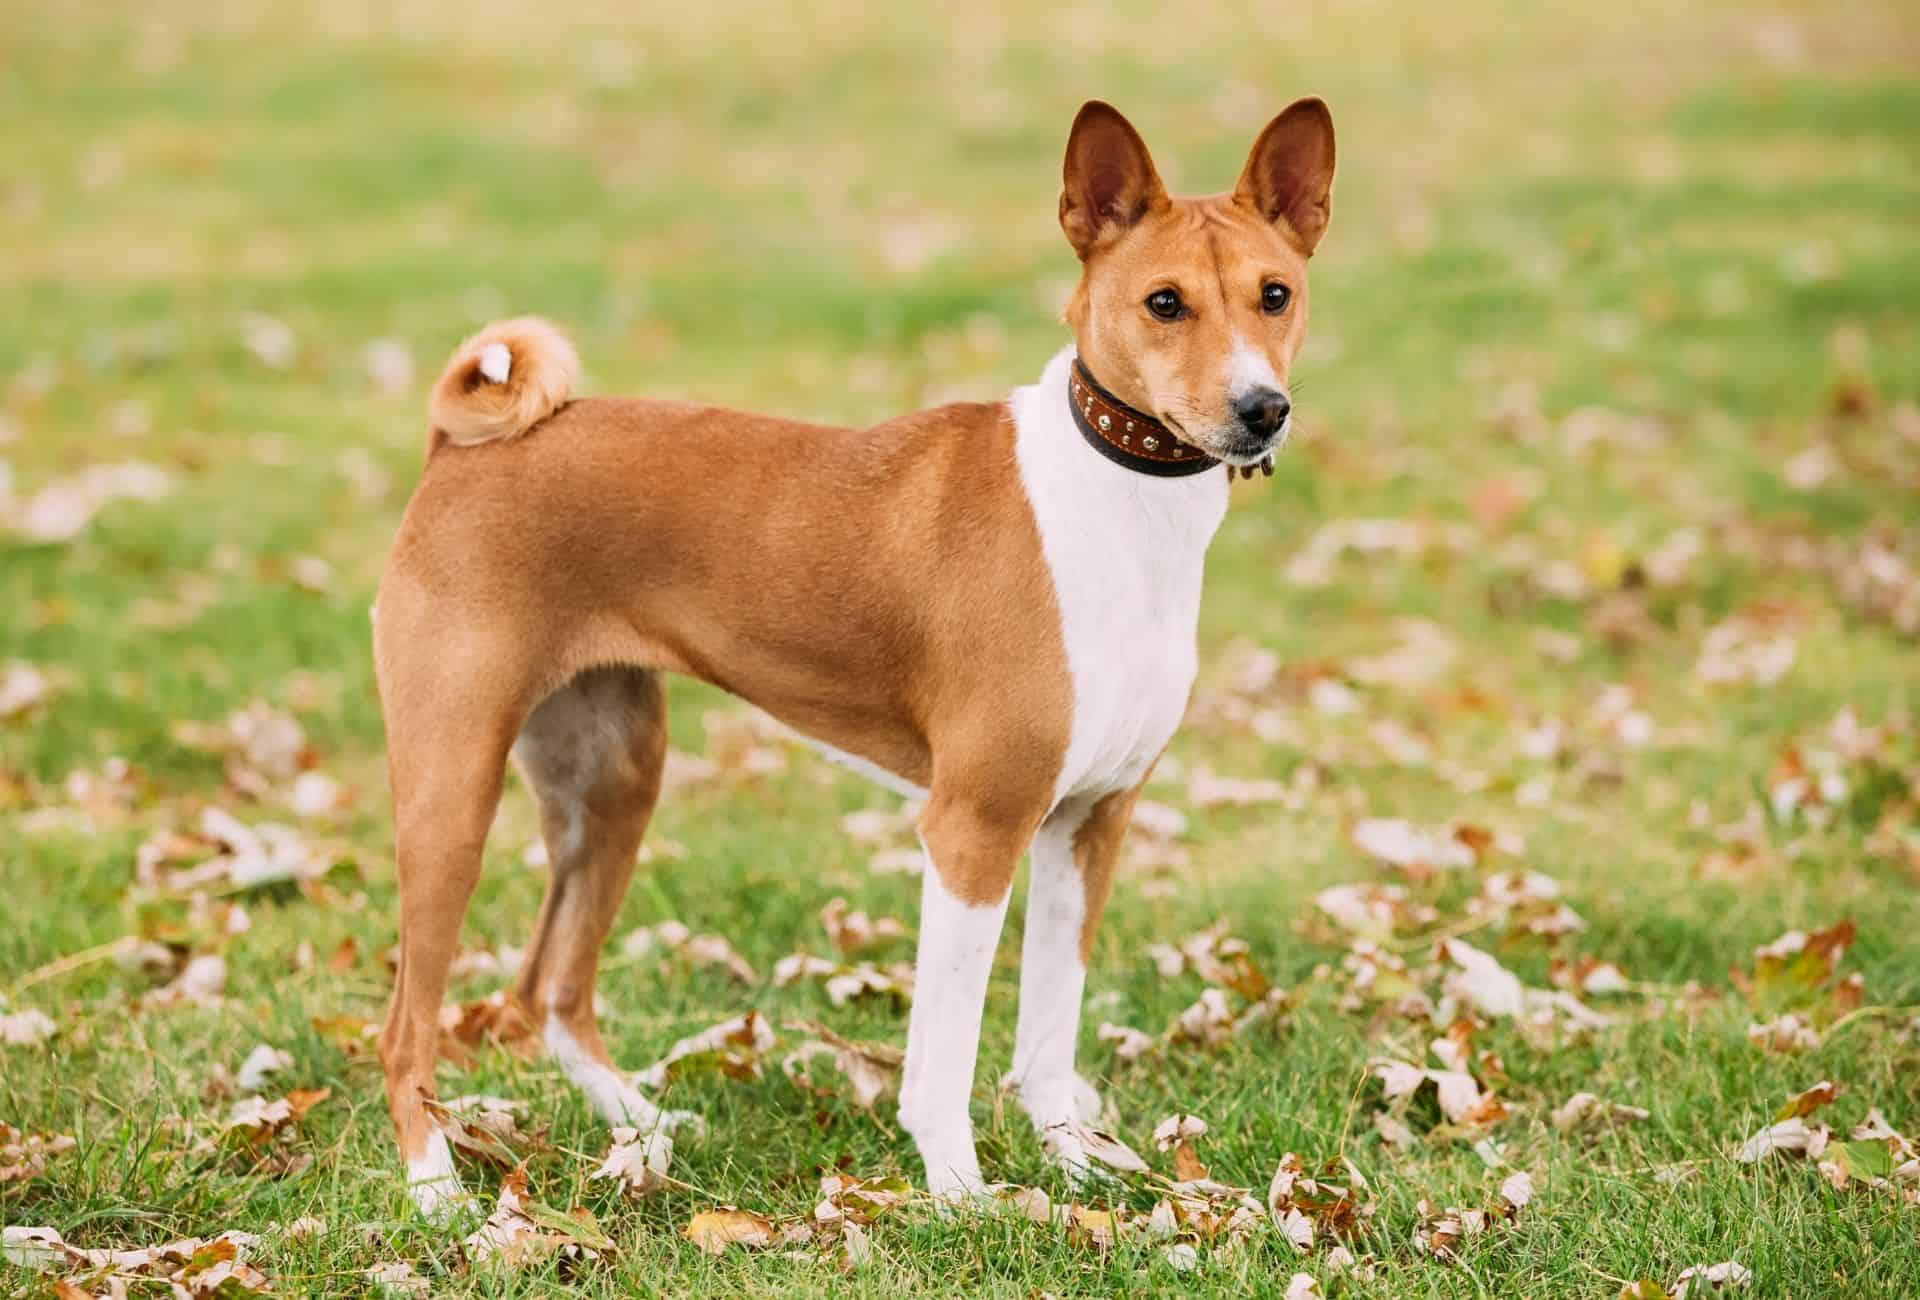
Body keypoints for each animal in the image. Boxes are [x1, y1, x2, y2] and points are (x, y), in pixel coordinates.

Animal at [374, 96, 1336, 1213]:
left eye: (1275, 295)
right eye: (1165, 303)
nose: (1260, 408)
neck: (1117, 506)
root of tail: (460, 449)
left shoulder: (1089, 821)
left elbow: (1049, 1032)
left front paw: (1075, 1161)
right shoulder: (973, 828)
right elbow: (946, 1052)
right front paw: (960, 1192)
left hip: (612, 781)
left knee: (550, 991)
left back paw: (642, 1128)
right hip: (452, 796)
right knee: (405, 1027)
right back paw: (437, 1188)